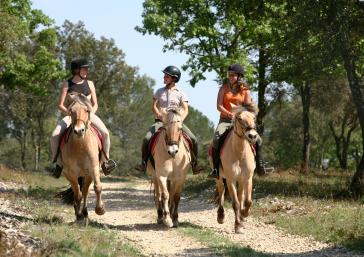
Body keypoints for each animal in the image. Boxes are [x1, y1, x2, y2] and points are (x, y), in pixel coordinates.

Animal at [60, 93, 104, 223]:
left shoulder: (93, 168)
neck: (80, 146)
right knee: (78, 192)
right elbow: (77, 194)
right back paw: (79, 213)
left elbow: (96, 187)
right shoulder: (71, 173)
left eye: (87, 110)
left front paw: (100, 209)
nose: (79, 131)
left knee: (85, 191)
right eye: (71, 111)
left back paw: (85, 213)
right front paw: (78, 215)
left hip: (86, 174)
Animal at [212, 102, 260, 232]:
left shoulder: (247, 178)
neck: (239, 152)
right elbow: (236, 203)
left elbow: (247, 201)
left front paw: (243, 215)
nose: (252, 136)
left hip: (241, 180)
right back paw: (220, 216)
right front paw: (237, 225)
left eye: (254, 118)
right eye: (239, 118)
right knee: (221, 191)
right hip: (219, 178)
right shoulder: (231, 180)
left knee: (241, 196)